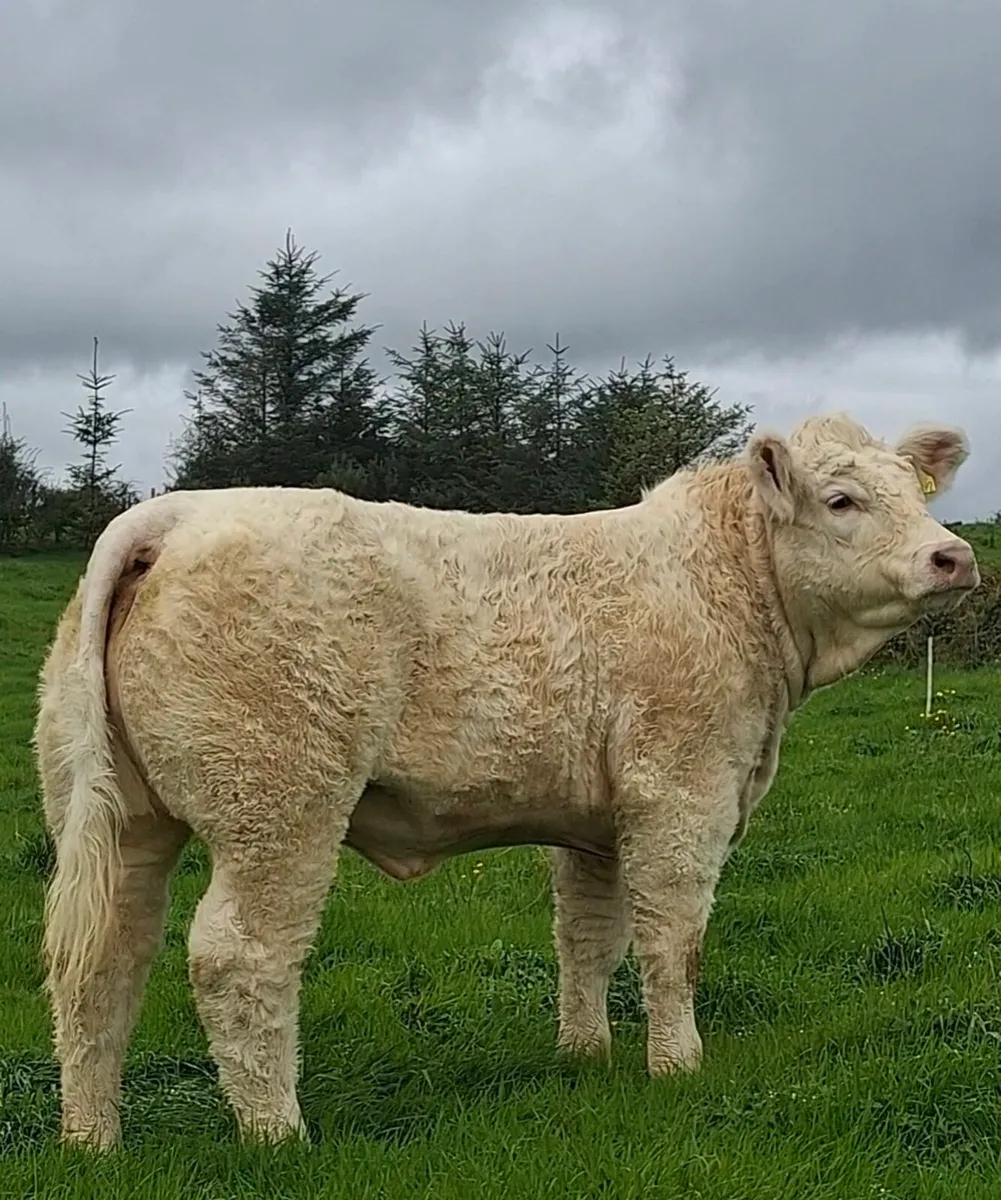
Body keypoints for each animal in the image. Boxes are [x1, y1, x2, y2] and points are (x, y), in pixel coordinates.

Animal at [34, 413, 978, 1149]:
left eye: (917, 493)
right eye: (841, 500)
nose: (952, 555)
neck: (732, 590)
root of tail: (178, 511)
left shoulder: (597, 822)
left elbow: (588, 939)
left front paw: (585, 1057)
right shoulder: (682, 791)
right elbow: (675, 942)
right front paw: (678, 1066)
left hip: (120, 813)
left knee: (101, 960)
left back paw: (92, 1141)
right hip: (277, 804)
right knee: (238, 957)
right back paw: (277, 1134)